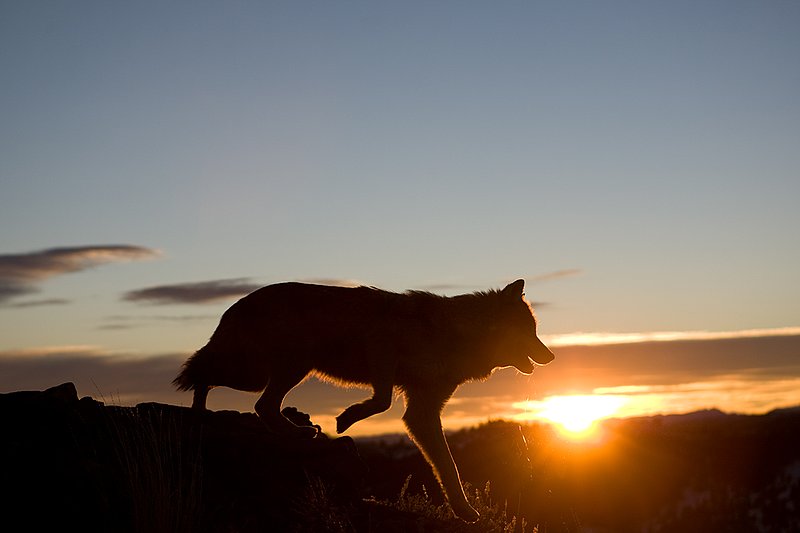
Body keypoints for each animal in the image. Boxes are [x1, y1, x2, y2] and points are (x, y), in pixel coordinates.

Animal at [174, 279, 554, 521]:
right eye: (530, 331)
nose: (551, 356)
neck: (456, 334)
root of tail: (238, 302)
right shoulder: (382, 350)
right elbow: (382, 400)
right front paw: (346, 418)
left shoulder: (422, 411)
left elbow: (448, 466)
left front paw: (463, 511)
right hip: (263, 373)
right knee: (205, 378)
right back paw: (204, 413)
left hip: (283, 372)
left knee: (260, 405)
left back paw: (295, 431)